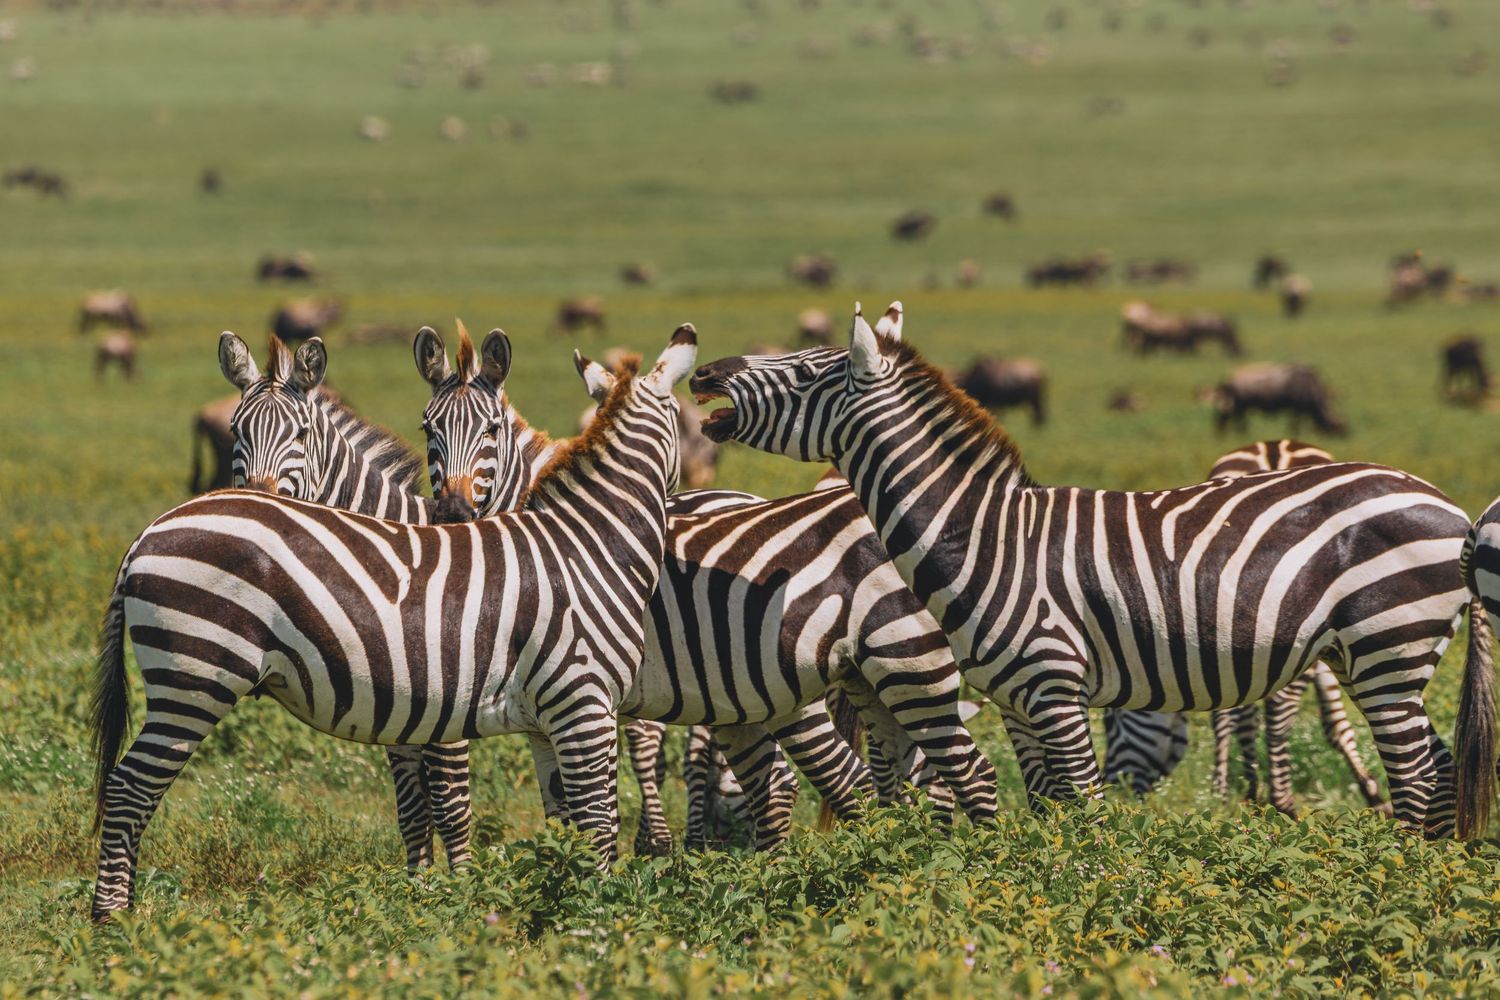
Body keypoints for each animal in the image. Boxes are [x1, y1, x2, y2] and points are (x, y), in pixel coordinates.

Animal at [89, 327, 696, 920]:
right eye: (234, 431)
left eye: (302, 433)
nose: (253, 497)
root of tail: (144, 537)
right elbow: (434, 807)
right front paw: (447, 894)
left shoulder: (427, 708)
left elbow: (435, 806)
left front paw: (440, 892)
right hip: (194, 675)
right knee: (129, 789)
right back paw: (112, 920)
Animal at [1102, 440, 1386, 816]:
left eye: (1111, 721)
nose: (1110, 789)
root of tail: (1274, 451)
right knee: (1275, 705)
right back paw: (1280, 800)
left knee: (1233, 711)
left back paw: (1235, 791)